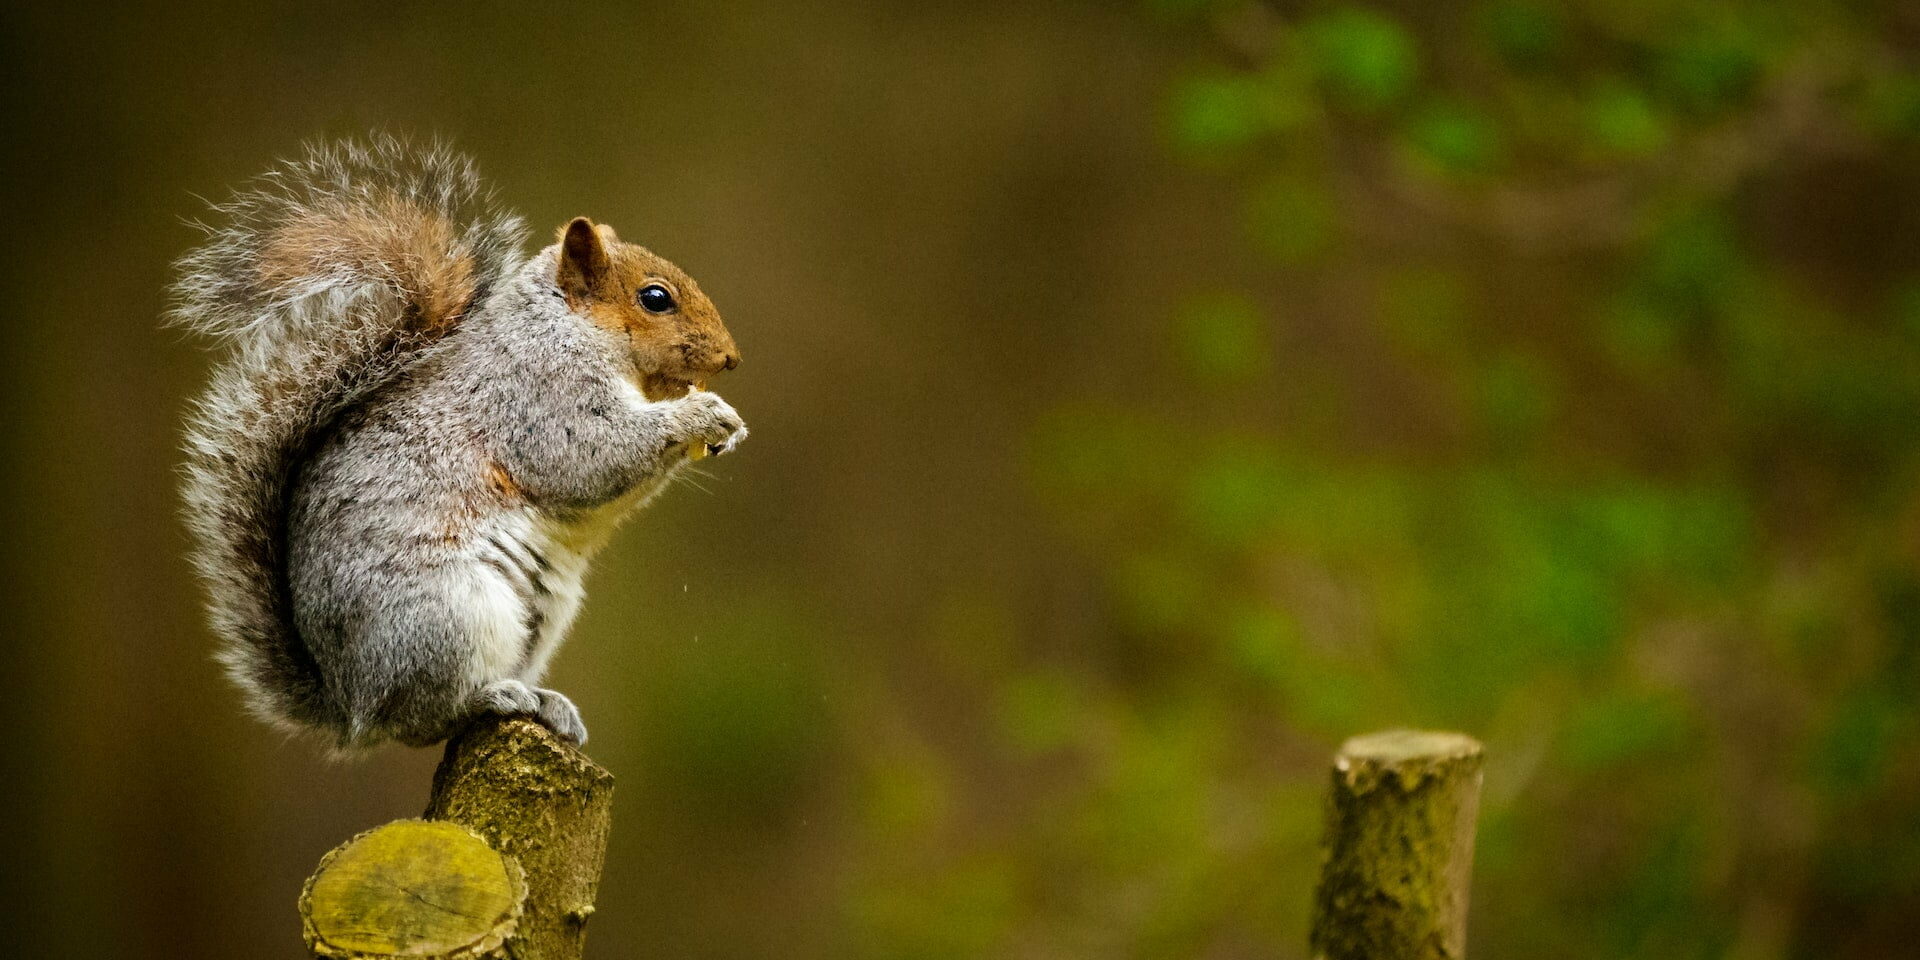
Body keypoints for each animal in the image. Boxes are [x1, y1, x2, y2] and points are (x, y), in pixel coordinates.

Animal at [172, 137, 744, 748]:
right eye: (655, 298)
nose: (731, 358)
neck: (566, 326)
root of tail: (349, 703)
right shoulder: (537, 399)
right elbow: (591, 457)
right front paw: (701, 413)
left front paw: (726, 426)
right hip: (451, 614)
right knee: (421, 719)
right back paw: (492, 697)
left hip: (540, 617)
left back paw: (547, 703)